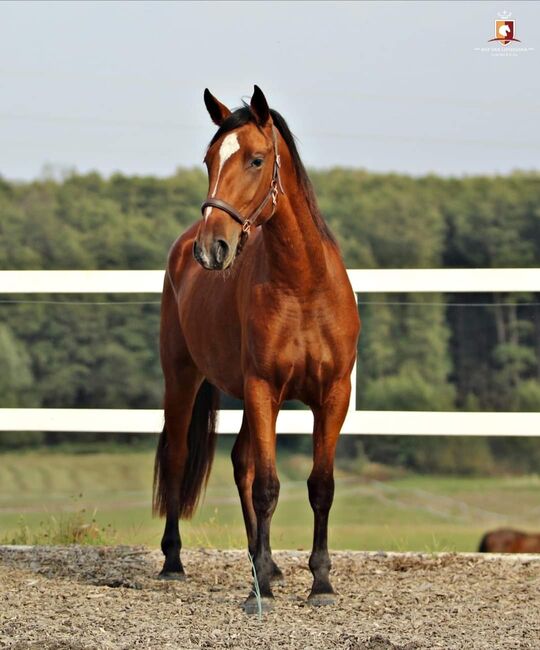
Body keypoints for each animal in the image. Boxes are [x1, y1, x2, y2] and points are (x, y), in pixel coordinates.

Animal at [154, 85, 360, 608]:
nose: (212, 249)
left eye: (256, 159)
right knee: (179, 457)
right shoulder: (264, 388)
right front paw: (259, 591)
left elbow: (320, 486)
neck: (303, 285)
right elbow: (268, 486)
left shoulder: (332, 395)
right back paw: (173, 563)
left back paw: (261, 563)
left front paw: (320, 583)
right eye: (209, 159)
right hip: (182, 378)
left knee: (240, 464)